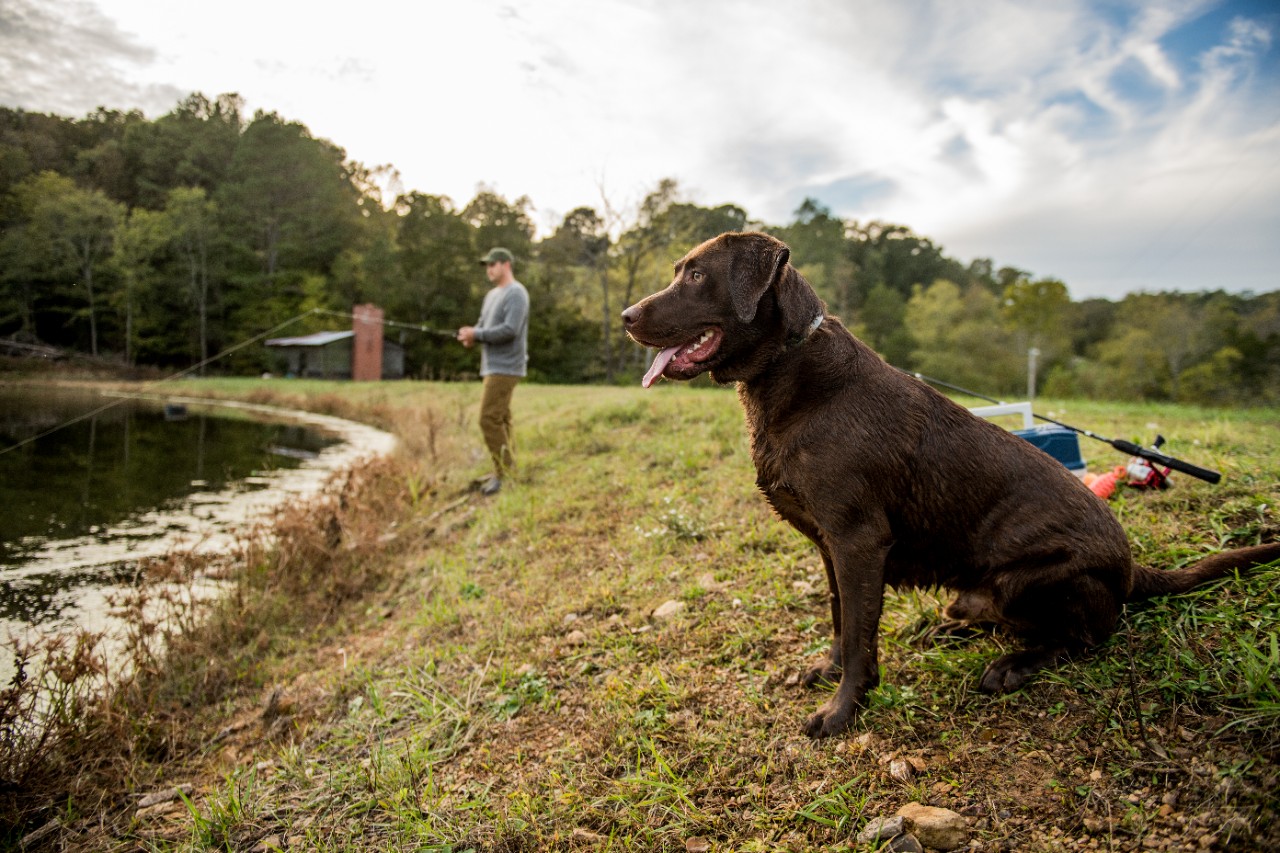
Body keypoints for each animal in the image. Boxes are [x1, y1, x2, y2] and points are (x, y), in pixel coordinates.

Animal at [622, 231, 1280, 739]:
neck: (791, 369)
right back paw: (951, 623)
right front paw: (827, 673)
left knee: (1087, 636)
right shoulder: (830, 546)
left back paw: (1013, 665)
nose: (625, 317)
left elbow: (859, 637)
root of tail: (1131, 568)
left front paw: (842, 712)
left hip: (1031, 579)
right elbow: (840, 618)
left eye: (697, 274)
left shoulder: (858, 541)